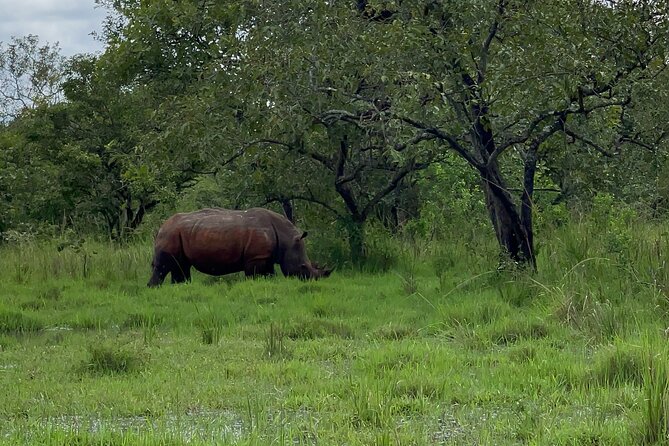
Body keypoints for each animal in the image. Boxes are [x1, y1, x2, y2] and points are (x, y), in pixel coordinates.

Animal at [148, 208, 332, 288]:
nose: (314, 281)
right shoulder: (255, 258)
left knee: (181, 266)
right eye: (303, 267)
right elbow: (253, 276)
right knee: (163, 267)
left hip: (177, 234)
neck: (287, 239)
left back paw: (180, 287)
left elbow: (269, 275)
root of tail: (161, 227)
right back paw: (154, 288)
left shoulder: (266, 257)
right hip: (170, 234)